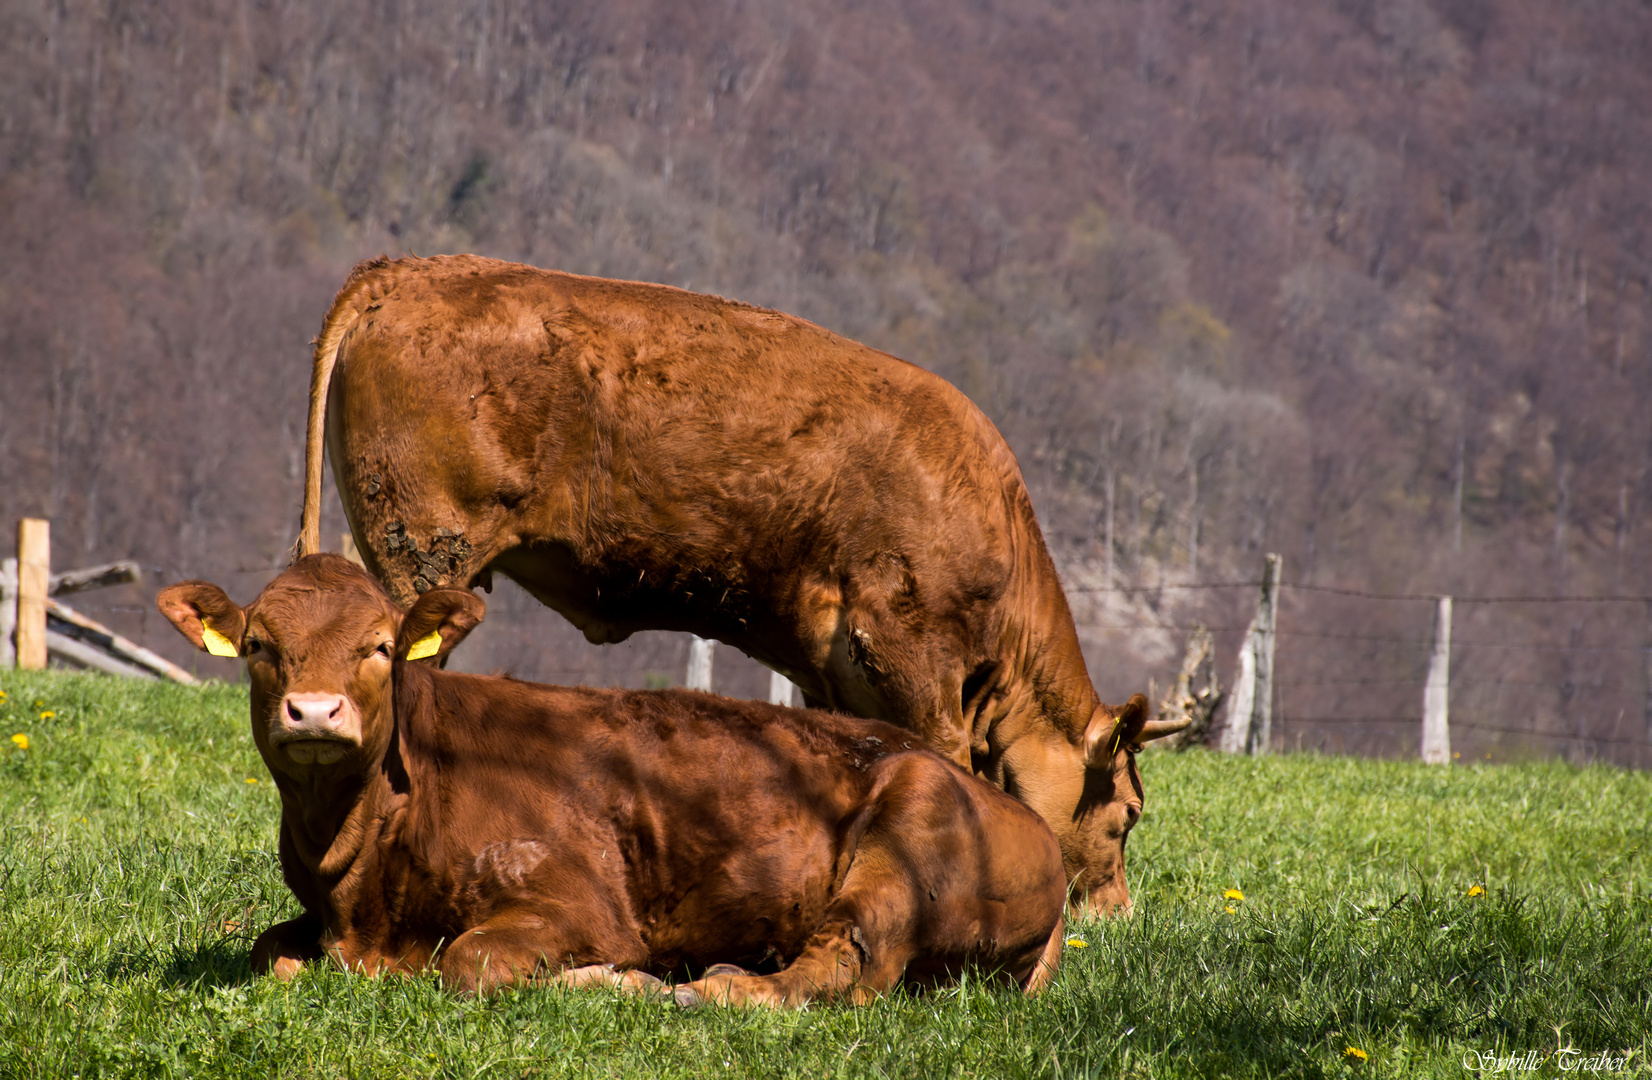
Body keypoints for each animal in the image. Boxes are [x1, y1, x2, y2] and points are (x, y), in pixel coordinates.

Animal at [155, 558, 1063, 1004]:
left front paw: (609, 977)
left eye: (379, 646)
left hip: (904, 840)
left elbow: (467, 963)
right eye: (260, 646)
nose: (314, 712)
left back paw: (701, 989)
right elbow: (269, 954)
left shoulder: (577, 904)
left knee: (842, 971)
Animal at [290, 257, 1182, 918]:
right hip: (426, 549)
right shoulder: (912, 658)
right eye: (1129, 816)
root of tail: (410, 270)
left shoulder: (838, 674)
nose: (1119, 914)